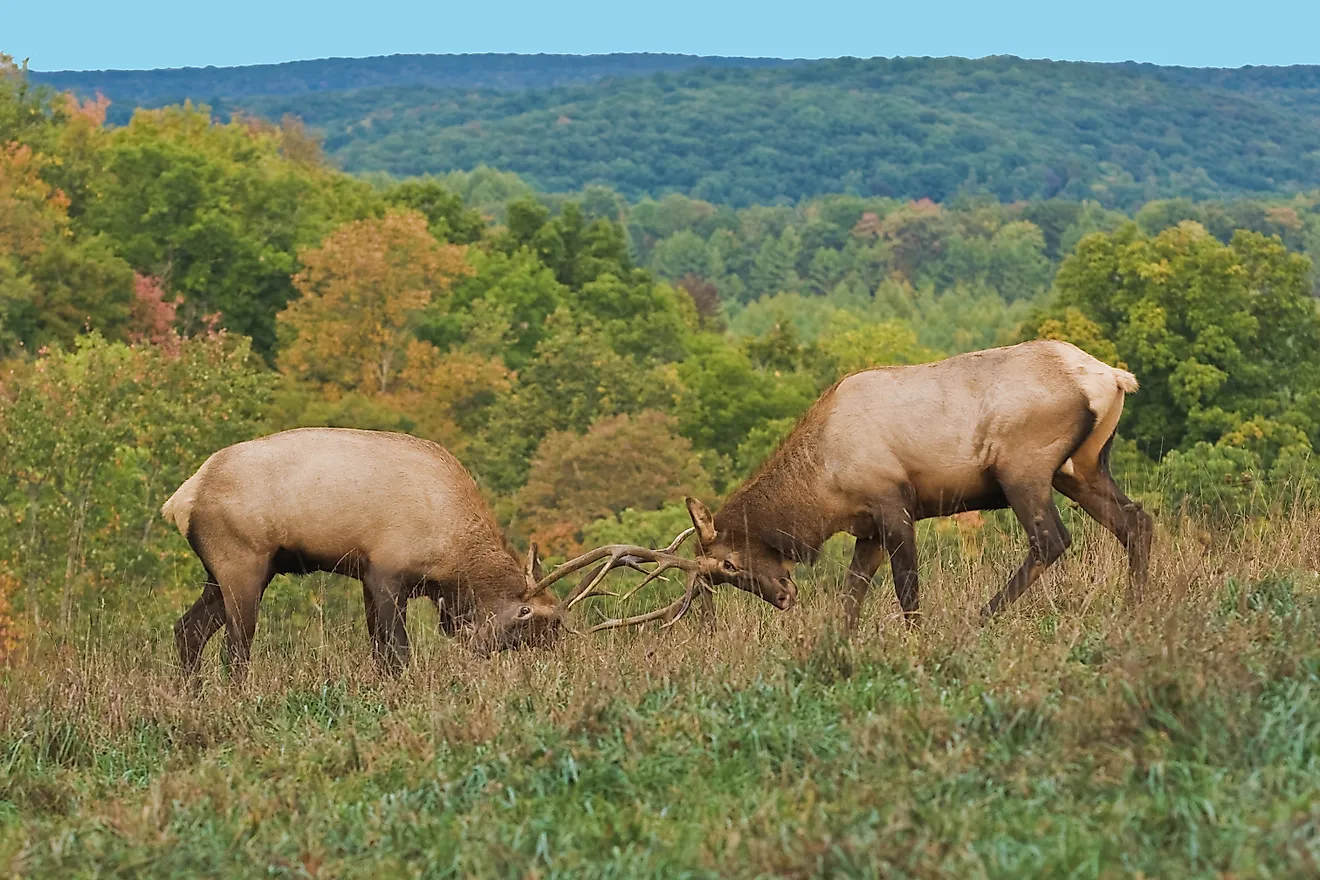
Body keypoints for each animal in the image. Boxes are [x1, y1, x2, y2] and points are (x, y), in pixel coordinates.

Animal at [161, 427, 565, 678]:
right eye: (527, 614)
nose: (556, 646)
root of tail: (181, 500)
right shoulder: (387, 574)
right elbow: (397, 652)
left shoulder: (368, 578)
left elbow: (379, 652)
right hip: (242, 566)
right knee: (235, 648)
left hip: (225, 574)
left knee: (188, 630)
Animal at [545, 340, 1153, 633]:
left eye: (727, 566)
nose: (783, 596)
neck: (821, 488)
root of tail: (1112, 377)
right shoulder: (865, 529)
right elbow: (852, 593)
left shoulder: (892, 503)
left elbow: (906, 590)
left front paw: (916, 636)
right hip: (1081, 468)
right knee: (1136, 519)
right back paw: (1135, 606)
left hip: (1024, 468)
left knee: (1052, 540)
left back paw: (981, 616)